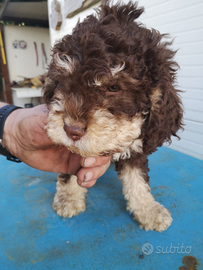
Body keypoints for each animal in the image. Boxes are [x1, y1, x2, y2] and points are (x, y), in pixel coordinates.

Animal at [43, 0, 184, 232]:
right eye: (64, 81)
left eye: (114, 87)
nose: (71, 130)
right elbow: (69, 170)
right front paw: (68, 199)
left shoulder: (137, 145)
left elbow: (138, 180)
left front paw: (149, 210)